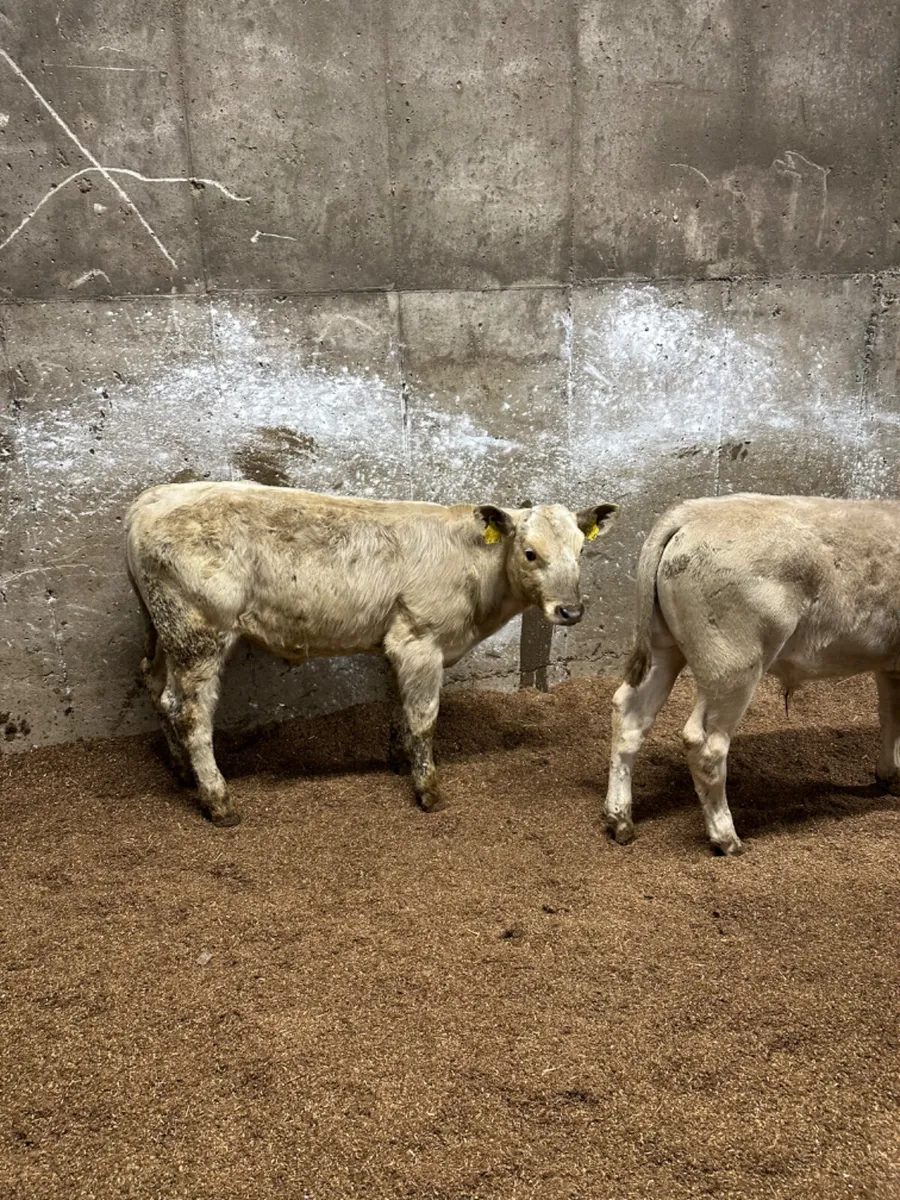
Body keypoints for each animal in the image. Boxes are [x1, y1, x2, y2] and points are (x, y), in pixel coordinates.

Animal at [126, 481, 618, 826]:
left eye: (581, 551)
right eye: (531, 553)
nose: (571, 610)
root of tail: (149, 500)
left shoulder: (395, 643)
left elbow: (400, 708)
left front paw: (399, 761)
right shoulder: (419, 639)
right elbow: (424, 716)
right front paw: (428, 790)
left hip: (162, 629)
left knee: (157, 687)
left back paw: (182, 772)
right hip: (200, 633)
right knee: (191, 714)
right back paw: (218, 801)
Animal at [605, 494, 900, 855]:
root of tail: (691, 512)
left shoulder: (889, 663)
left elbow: (890, 716)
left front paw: (889, 775)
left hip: (664, 648)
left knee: (631, 714)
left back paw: (620, 820)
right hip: (732, 665)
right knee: (705, 743)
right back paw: (726, 837)